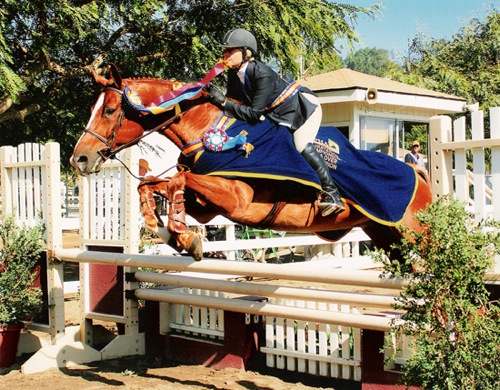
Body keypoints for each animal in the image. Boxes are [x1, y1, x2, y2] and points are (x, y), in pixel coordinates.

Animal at [70, 65, 434, 260]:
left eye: (109, 110)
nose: (79, 158)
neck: (208, 130)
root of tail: (418, 174)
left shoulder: (237, 200)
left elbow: (178, 180)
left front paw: (183, 237)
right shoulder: (210, 207)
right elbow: (152, 184)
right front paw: (176, 236)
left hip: (417, 236)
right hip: (388, 238)